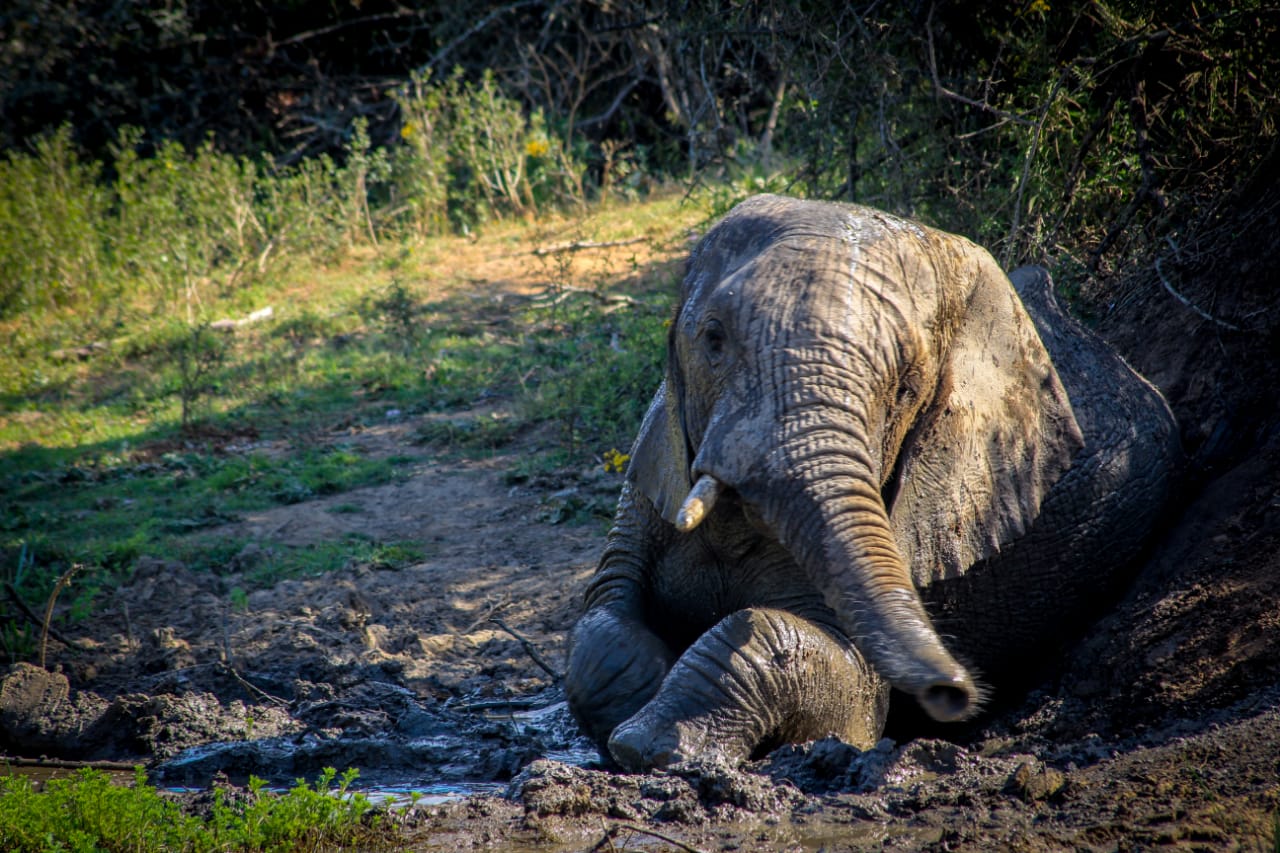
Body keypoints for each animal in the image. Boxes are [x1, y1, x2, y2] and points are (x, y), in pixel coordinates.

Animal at [565, 195, 1182, 768]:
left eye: (906, 386)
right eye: (713, 340)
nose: (953, 692)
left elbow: (853, 692)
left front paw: (653, 748)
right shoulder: (653, 456)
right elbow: (604, 621)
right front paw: (635, 708)